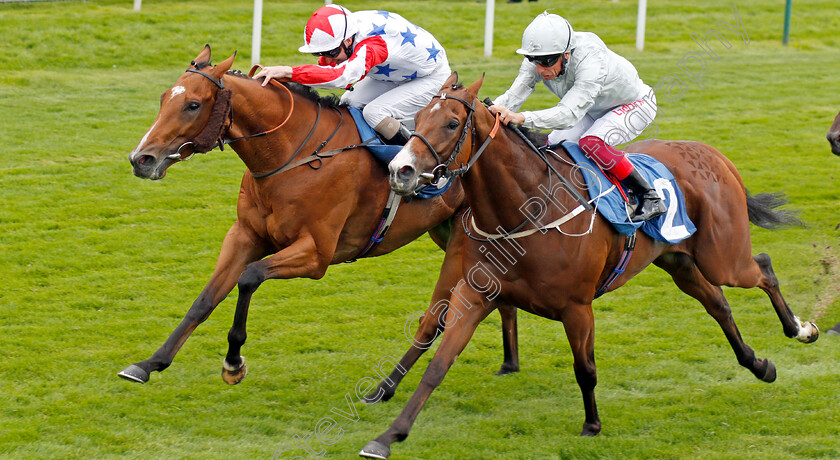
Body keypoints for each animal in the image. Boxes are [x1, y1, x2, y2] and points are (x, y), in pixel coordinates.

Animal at [118, 45, 520, 384]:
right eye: (163, 98)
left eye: (193, 105)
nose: (141, 159)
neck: (293, 154)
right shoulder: (245, 235)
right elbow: (204, 299)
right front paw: (150, 363)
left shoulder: (316, 254)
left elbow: (249, 277)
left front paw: (233, 363)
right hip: (451, 230)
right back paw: (509, 362)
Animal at [358, 73, 816, 458]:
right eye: (418, 116)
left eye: (453, 123)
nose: (400, 170)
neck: (522, 211)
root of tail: (715, 154)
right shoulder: (475, 293)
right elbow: (437, 362)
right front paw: (388, 436)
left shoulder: (577, 308)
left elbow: (585, 369)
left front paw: (592, 425)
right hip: (679, 261)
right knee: (719, 304)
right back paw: (758, 365)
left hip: (723, 257)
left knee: (762, 267)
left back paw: (801, 329)